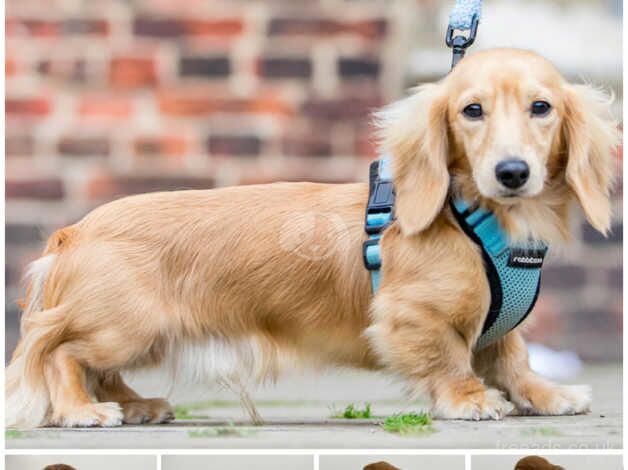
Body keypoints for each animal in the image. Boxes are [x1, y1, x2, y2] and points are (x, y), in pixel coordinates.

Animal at [6, 49, 620, 428]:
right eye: (472, 110)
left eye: (541, 107)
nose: (512, 172)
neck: (473, 217)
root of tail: (74, 232)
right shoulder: (414, 316)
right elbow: (450, 359)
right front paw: (469, 399)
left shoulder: (498, 325)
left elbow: (512, 357)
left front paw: (547, 395)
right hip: (126, 327)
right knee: (61, 354)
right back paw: (81, 411)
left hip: (137, 335)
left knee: (100, 371)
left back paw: (138, 406)